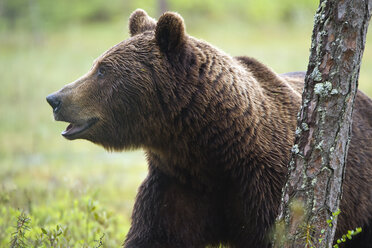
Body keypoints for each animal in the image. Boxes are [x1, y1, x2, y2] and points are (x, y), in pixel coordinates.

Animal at [46, 9, 372, 248]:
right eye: (96, 64)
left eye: (103, 70)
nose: (55, 99)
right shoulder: (177, 187)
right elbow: (153, 236)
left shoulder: (266, 187)